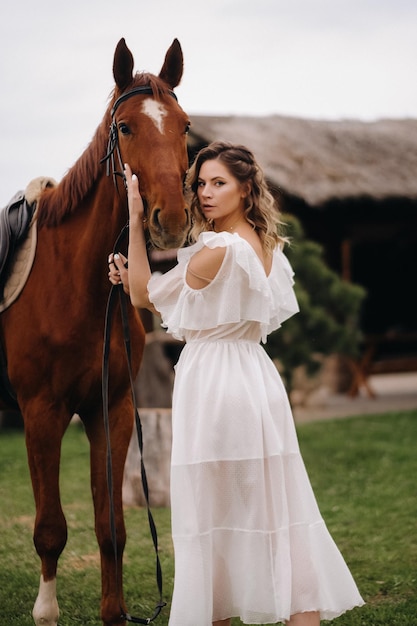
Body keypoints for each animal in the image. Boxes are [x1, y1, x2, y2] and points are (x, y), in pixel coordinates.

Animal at [0, 37, 189, 620]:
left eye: (185, 127)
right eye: (125, 127)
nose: (172, 219)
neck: (78, 286)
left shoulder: (113, 410)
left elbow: (112, 529)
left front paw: (114, 612)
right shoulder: (42, 414)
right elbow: (50, 529)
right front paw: (45, 611)